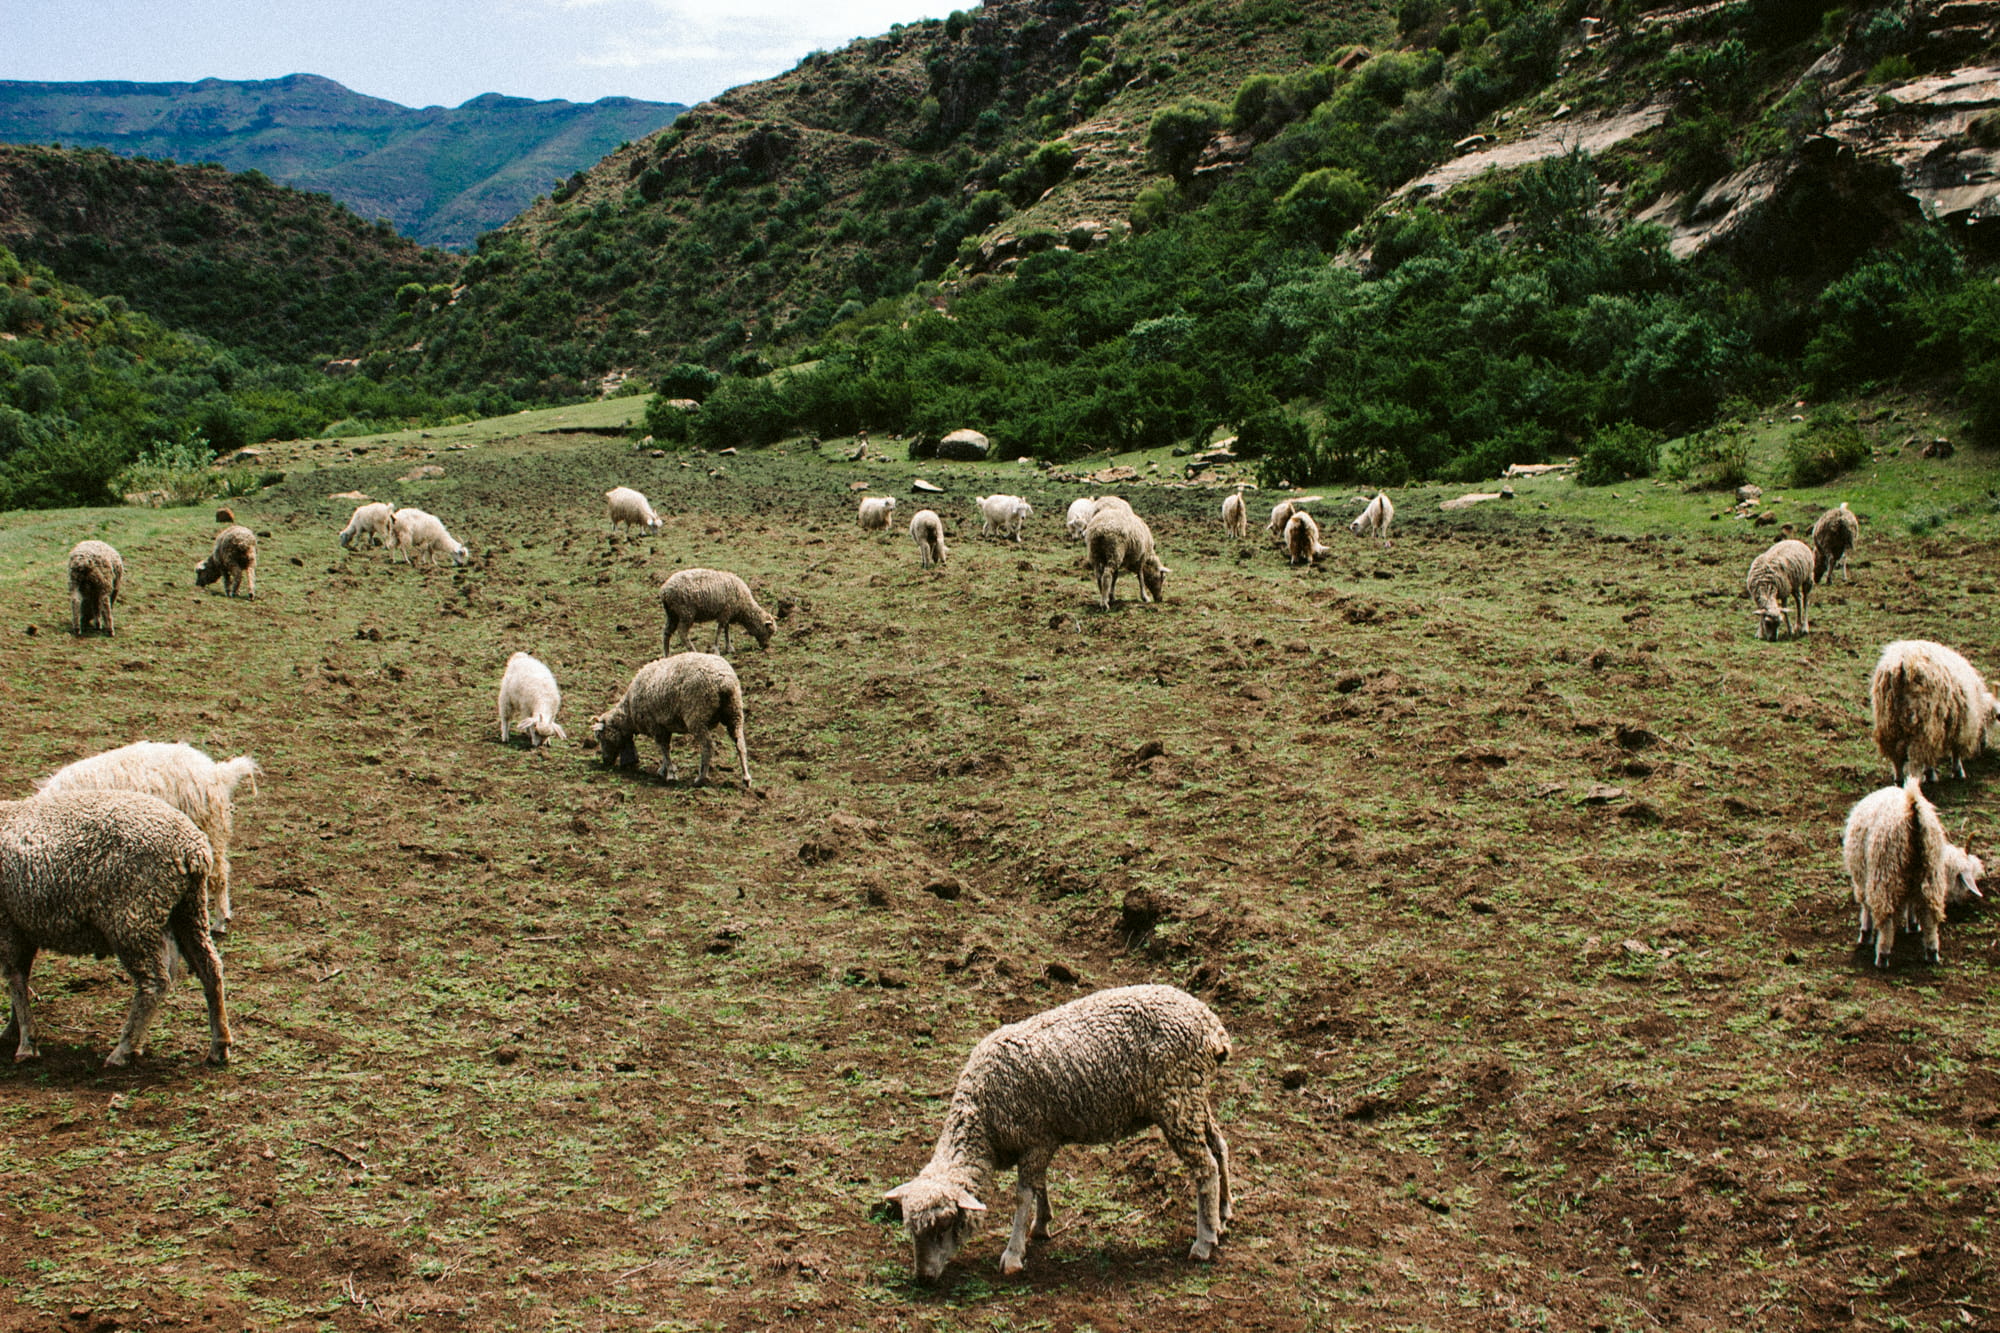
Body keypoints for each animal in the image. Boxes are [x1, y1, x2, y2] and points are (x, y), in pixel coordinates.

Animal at [0, 790, 229, 1067]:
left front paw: (26, 1041)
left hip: (134, 917)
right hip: (188, 909)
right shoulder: (22, 924)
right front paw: (12, 1030)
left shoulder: (6, 922)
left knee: (155, 981)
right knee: (210, 968)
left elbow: (15, 979)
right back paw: (219, 1045)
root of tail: (192, 848)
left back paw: (124, 1049)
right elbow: (20, 976)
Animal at [589, 652, 751, 789]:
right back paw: (746, 779)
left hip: (697, 715)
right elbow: (665, 749)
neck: (628, 715)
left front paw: (671, 774)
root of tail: (724, 681)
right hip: (734, 712)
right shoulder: (664, 726)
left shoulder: (655, 725)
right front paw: (663, 769)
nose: (605, 761)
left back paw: (701, 778)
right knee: (740, 744)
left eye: (600, 737)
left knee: (707, 747)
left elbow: (664, 748)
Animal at [884, 984, 1231, 1281]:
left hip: (1177, 1102)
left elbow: (1023, 1195)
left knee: (1205, 1168)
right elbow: (1040, 1185)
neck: (982, 1117)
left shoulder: (1034, 1140)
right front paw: (1041, 1224)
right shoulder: (1042, 1138)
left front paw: (1013, 1254)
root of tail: (1212, 1026)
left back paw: (1204, 1242)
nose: (924, 1278)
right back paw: (1223, 1214)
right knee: (1219, 1147)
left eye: (943, 1227)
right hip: (1194, 1099)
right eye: (912, 1230)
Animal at [1843, 776, 1984, 968]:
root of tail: (1913, 808)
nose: (1961, 903)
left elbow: (1866, 906)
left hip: (1886, 871)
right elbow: (1911, 904)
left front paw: (1865, 934)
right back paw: (1932, 952)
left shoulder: (1863, 877)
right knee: (1930, 916)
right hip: (1929, 874)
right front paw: (1912, 925)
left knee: (1887, 918)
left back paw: (1882, 956)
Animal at [1870, 639, 2000, 783]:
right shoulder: (1960, 728)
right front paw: (1957, 772)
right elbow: (1955, 753)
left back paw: (1899, 779)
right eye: (1987, 724)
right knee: (1916, 758)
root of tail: (1902, 664)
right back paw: (1920, 779)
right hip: (1923, 722)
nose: (1983, 746)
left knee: (1896, 756)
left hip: (1889, 723)